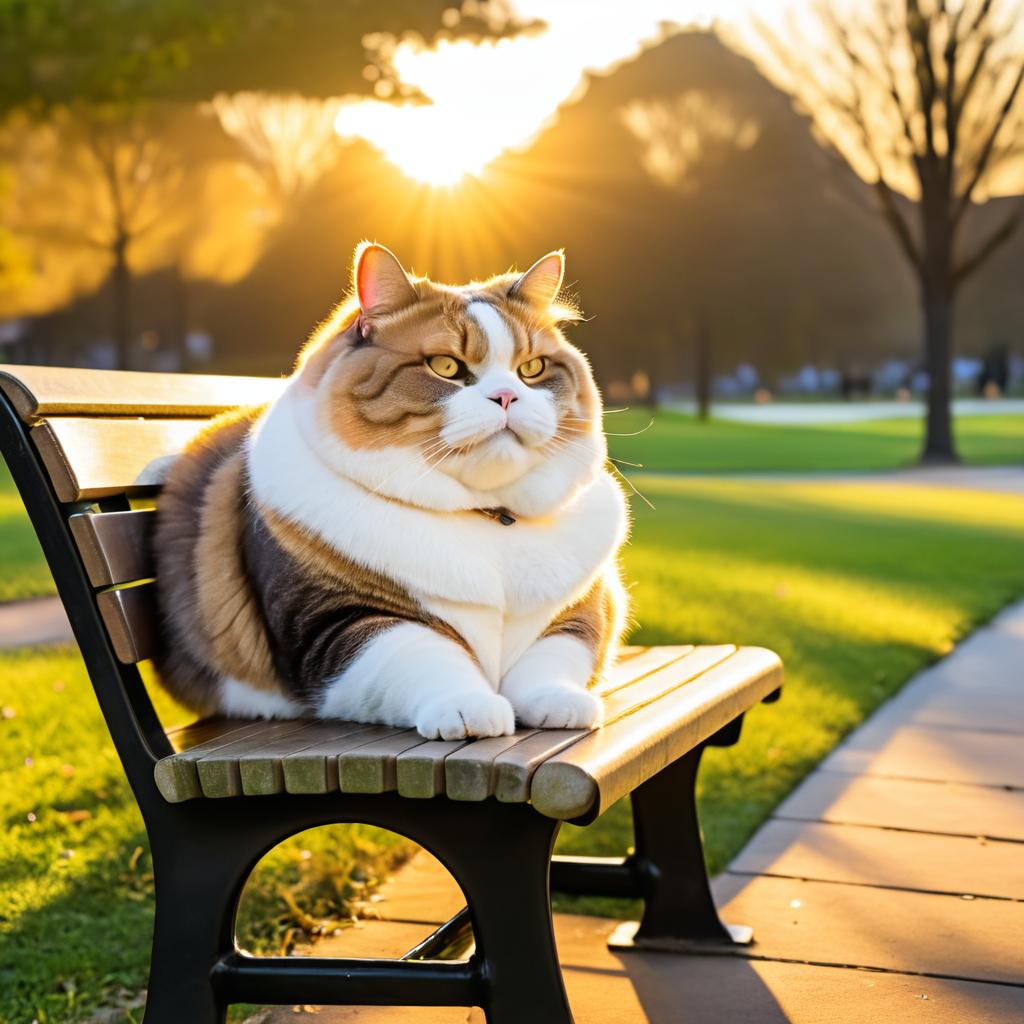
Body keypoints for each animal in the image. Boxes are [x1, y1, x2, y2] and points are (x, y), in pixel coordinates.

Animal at [154, 243, 626, 741]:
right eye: (446, 366)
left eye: (532, 369)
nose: (506, 396)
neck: (486, 515)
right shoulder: (334, 621)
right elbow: (417, 651)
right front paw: (468, 706)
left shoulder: (584, 607)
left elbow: (558, 650)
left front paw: (559, 701)